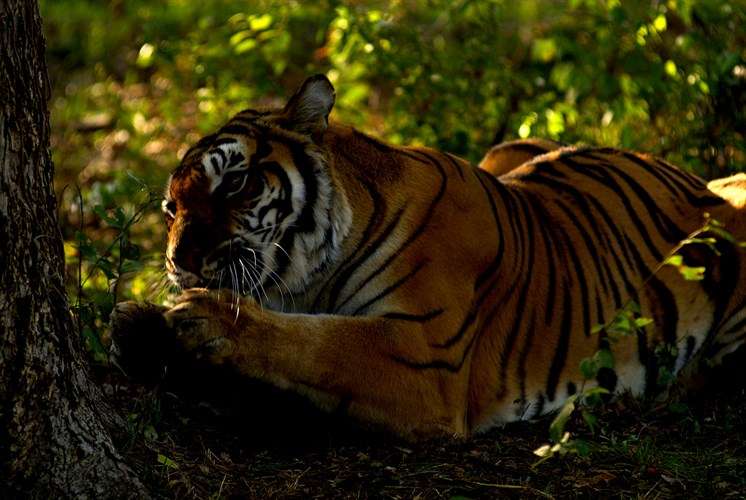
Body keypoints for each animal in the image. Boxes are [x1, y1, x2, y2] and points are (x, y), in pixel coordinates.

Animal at [113, 74, 746, 440]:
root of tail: (707, 183)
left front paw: (205, 319)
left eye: (235, 182)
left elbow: (315, 343)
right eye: (170, 208)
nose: (179, 262)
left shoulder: (423, 355)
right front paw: (135, 324)